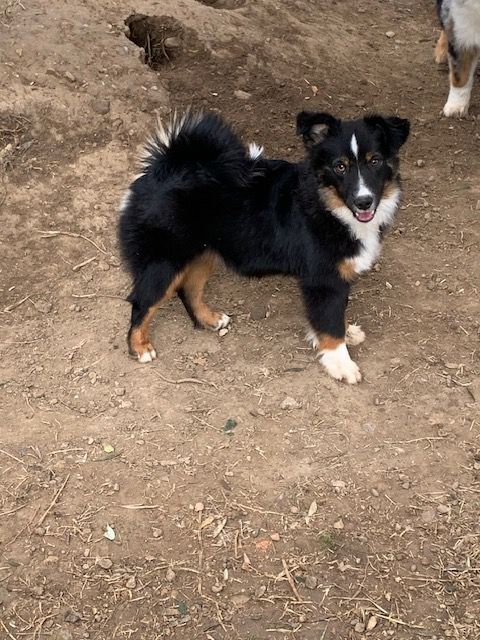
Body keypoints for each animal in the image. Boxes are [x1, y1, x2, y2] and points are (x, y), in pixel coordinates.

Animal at [118, 110, 409, 384]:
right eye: (340, 166)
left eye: (375, 161)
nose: (364, 201)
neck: (328, 206)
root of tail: (163, 166)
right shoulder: (323, 280)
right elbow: (330, 322)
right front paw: (341, 364)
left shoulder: (337, 276)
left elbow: (336, 314)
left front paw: (347, 333)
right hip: (164, 260)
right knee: (143, 302)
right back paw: (140, 347)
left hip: (203, 252)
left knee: (189, 290)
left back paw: (209, 319)